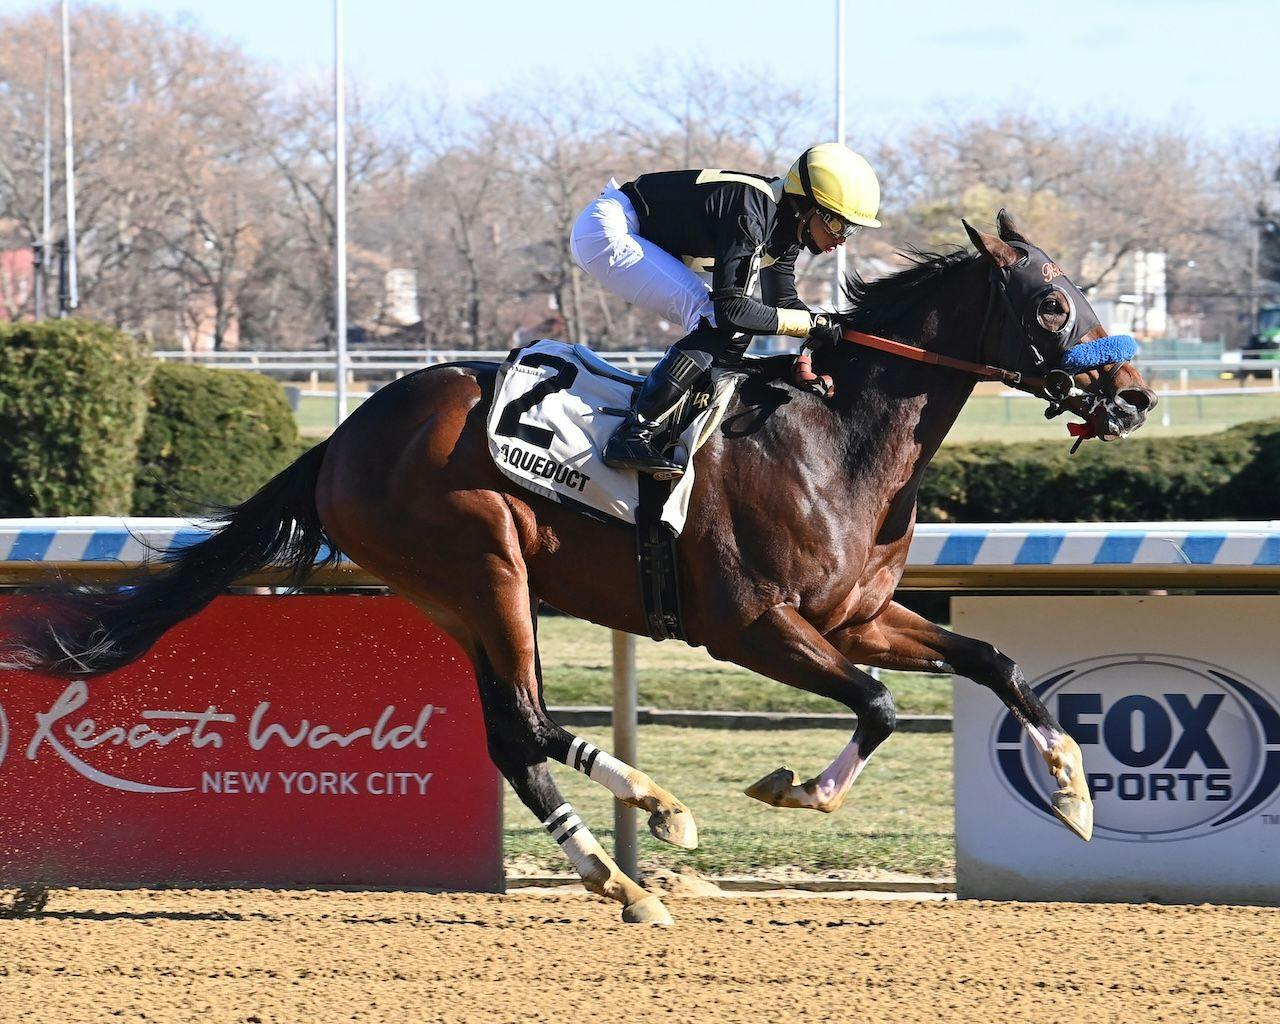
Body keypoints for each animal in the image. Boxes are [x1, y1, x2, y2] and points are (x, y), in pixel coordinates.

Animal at [2, 209, 1162, 926]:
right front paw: (793, 787)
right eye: (1052, 304)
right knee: (521, 724)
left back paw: (627, 865)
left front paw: (1071, 789)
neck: (830, 433)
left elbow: (989, 658)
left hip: (461, 596)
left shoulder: (856, 614)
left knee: (513, 735)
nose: (1136, 395)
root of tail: (339, 439)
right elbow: (876, 705)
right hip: (485, 568)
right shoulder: (750, 626)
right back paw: (643, 830)